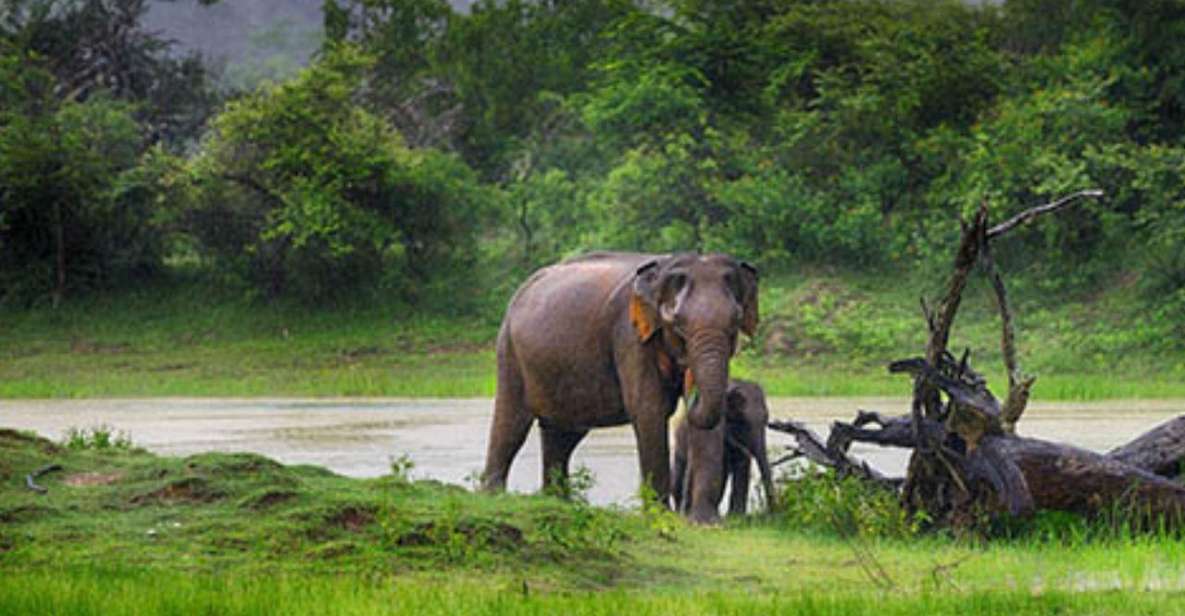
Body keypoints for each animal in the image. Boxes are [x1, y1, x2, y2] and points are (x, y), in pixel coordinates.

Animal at [481, 251, 758, 504]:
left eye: (735, 323)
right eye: (677, 325)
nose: (689, 392)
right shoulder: (630, 335)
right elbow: (649, 409)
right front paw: (660, 515)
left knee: (563, 435)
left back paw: (557, 501)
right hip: (509, 351)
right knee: (512, 423)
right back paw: (494, 495)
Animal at [673, 381, 772, 521]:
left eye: (767, 420)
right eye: (742, 422)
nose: (771, 513)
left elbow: (742, 465)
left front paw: (736, 517)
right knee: (679, 474)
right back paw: (678, 512)